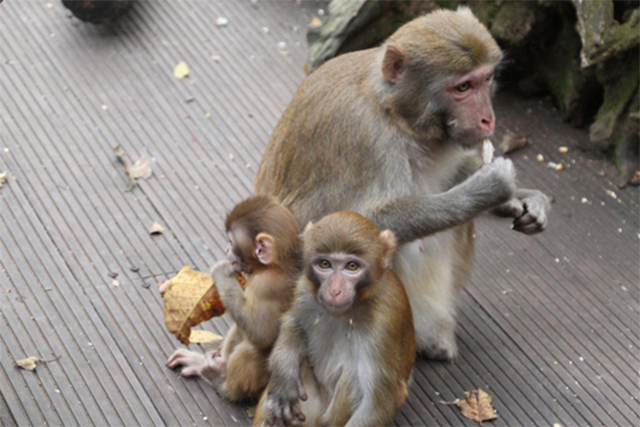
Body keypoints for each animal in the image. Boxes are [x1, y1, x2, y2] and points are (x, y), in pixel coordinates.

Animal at [168, 196, 302, 402]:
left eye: (231, 241)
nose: (225, 249)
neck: (275, 265)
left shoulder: (266, 285)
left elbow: (261, 333)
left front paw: (222, 273)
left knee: (253, 348)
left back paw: (220, 381)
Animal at [252, 211, 418, 427]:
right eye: (325, 264)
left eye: (352, 266)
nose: (334, 290)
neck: (355, 304)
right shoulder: (305, 289)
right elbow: (293, 322)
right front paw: (284, 375)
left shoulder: (385, 321)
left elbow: (376, 405)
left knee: (353, 377)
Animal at [255, 7, 552, 362]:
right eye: (463, 87)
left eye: (487, 79)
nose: (487, 119)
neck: (397, 114)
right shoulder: (364, 137)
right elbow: (346, 227)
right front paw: (489, 189)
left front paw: (521, 198)